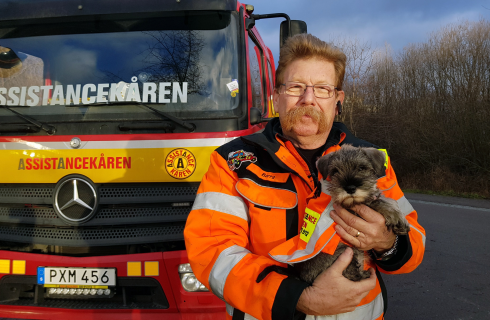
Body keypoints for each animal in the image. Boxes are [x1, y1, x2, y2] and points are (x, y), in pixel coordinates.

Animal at [256, 146, 410, 284]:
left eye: (361, 168)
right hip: (345, 249)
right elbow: (377, 203)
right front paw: (397, 218)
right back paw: (364, 275)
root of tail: (298, 274)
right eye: (335, 171)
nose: (350, 188)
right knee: (351, 274)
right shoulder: (353, 210)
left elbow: (387, 200)